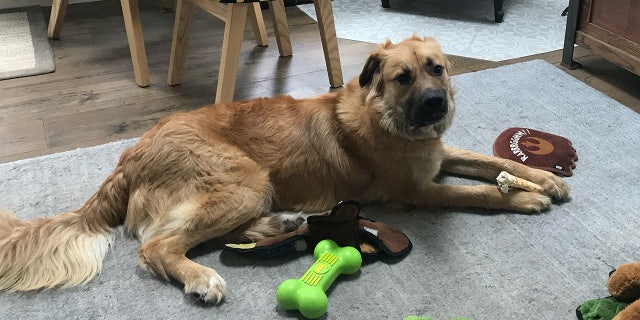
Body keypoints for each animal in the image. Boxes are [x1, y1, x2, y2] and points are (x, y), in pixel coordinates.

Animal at [0, 35, 568, 302]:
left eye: (438, 69)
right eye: (403, 78)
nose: (436, 105)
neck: (388, 117)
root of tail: (129, 156)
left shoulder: (437, 154)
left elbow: (488, 160)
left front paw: (546, 178)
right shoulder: (419, 191)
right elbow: (479, 193)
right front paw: (525, 197)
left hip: (250, 189)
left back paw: (282, 224)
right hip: (246, 180)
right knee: (157, 247)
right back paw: (202, 278)